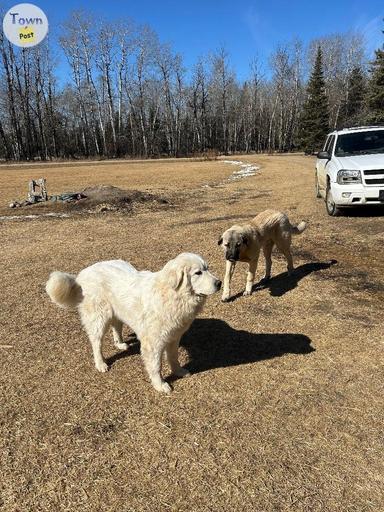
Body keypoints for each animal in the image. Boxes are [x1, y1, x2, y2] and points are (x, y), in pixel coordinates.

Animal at [45, 252, 220, 392]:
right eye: (198, 273)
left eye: (207, 268)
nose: (219, 283)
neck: (173, 295)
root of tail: (82, 274)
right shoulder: (154, 342)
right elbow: (156, 366)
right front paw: (160, 385)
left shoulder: (173, 336)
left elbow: (173, 357)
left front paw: (178, 371)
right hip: (100, 318)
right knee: (96, 342)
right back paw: (100, 363)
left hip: (119, 310)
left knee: (116, 326)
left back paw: (120, 343)